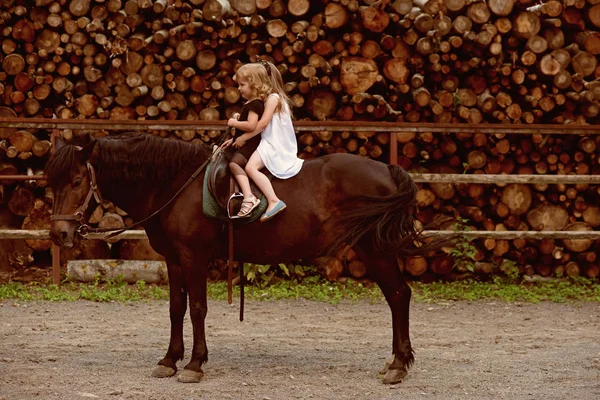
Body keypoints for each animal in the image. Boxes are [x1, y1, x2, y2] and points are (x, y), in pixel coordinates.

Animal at [44, 131, 436, 384]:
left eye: (77, 180)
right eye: (51, 183)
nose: (59, 234)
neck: (176, 185)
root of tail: (387, 170)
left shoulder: (193, 257)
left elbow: (198, 308)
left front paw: (194, 364)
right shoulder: (173, 259)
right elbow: (176, 309)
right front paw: (169, 360)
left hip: (375, 250)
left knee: (399, 296)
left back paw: (399, 365)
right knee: (398, 297)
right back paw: (396, 362)